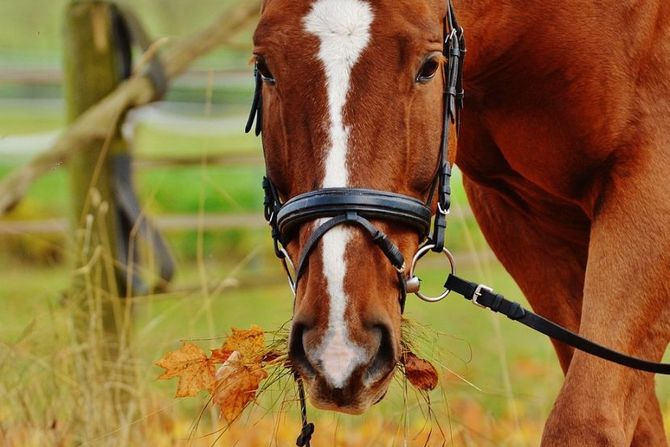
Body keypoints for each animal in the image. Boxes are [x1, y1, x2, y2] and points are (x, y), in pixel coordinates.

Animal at [252, 0, 670, 444]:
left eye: (429, 67)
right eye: (265, 67)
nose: (339, 349)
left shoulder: (651, 186)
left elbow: (586, 419)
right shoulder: (521, 217)